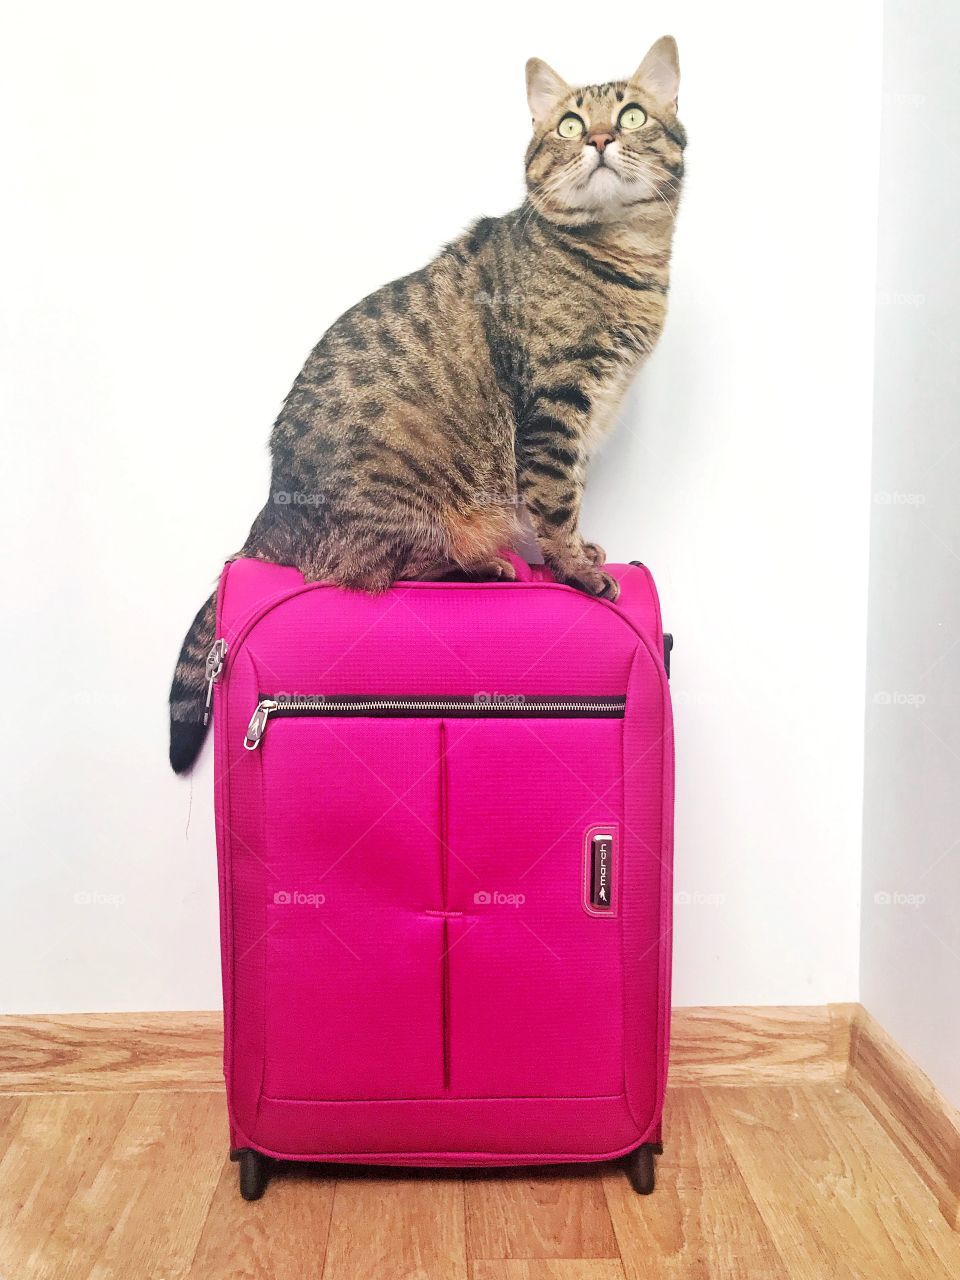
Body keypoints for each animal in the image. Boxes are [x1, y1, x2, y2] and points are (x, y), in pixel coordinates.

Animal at [168, 40, 686, 773]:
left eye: (633, 114)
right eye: (569, 125)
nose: (601, 138)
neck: (626, 258)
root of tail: (271, 510)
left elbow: (569, 495)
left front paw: (582, 551)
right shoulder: (555, 404)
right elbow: (557, 498)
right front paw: (577, 570)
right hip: (405, 496)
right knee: (377, 569)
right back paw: (486, 564)